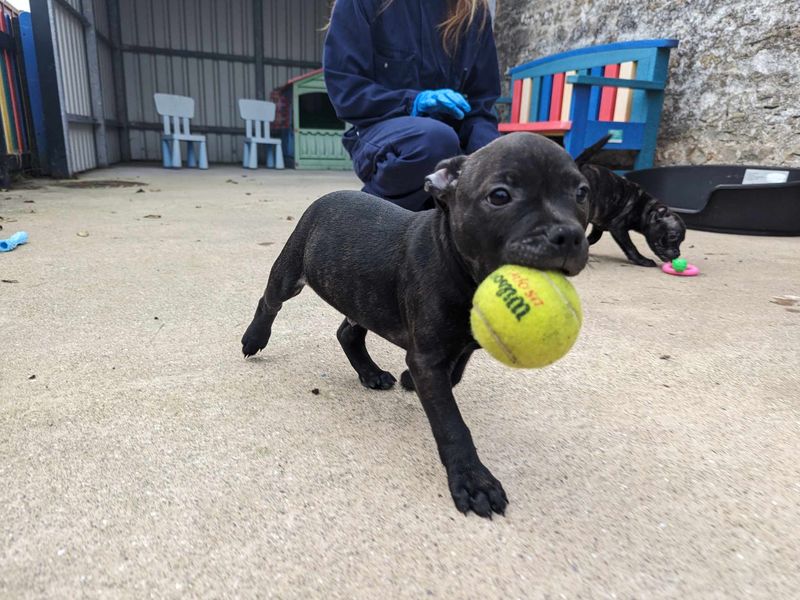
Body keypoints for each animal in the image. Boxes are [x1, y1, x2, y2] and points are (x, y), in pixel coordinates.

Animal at [241, 134, 592, 516]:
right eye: (500, 196)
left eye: (582, 193)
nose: (569, 235)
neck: (459, 265)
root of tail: (328, 196)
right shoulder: (428, 356)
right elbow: (451, 423)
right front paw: (473, 481)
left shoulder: (457, 345)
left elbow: (454, 374)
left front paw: (412, 381)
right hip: (291, 270)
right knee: (270, 301)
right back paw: (254, 338)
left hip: (363, 297)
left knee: (348, 332)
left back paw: (370, 373)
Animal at [576, 137, 688, 268]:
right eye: (672, 236)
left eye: (682, 240)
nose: (678, 253)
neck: (644, 207)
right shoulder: (618, 228)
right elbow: (630, 247)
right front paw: (643, 260)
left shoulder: (598, 226)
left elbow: (593, 238)